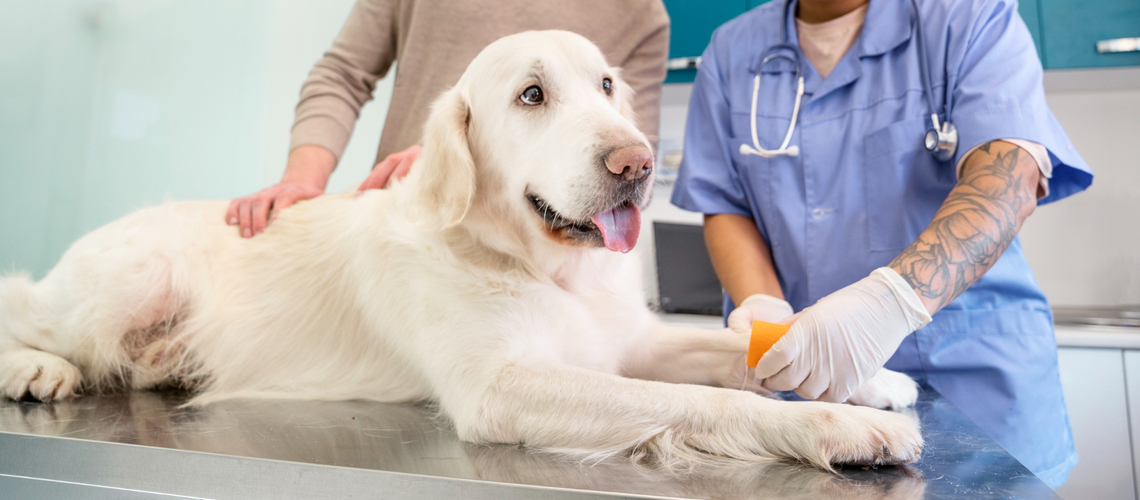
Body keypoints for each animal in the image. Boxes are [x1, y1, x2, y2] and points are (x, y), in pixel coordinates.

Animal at [0, 30, 921, 469]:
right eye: (531, 96)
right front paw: (840, 426)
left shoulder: (630, 339)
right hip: (134, 279)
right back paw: (36, 370)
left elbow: (737, 350)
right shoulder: (499, 387)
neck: (532, 260)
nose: (637, 164)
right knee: (27, 311)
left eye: (608, 84)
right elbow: (706, 402)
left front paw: (861, 374)